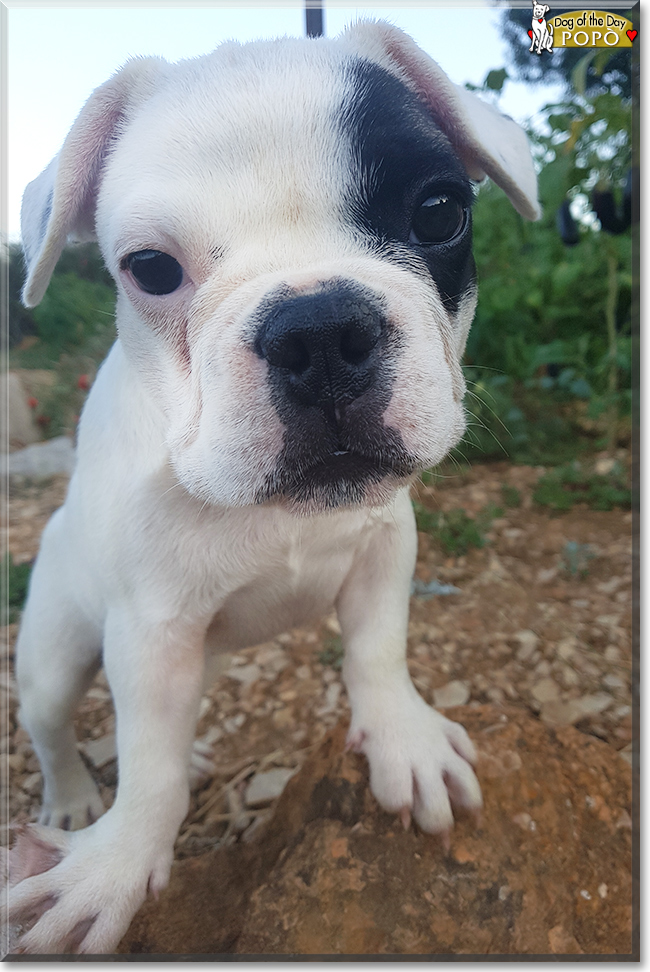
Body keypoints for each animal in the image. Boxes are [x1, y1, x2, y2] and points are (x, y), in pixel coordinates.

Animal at [7, 20, 536, 956]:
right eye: (150, 269)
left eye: (440, 211)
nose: (319, 331)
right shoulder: (151, 631)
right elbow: (148, 768)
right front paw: (114, 866)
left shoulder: (383, 548)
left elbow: (377, 650)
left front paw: (401, 739)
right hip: (54, 652)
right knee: (57, 726)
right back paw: (71, 799)